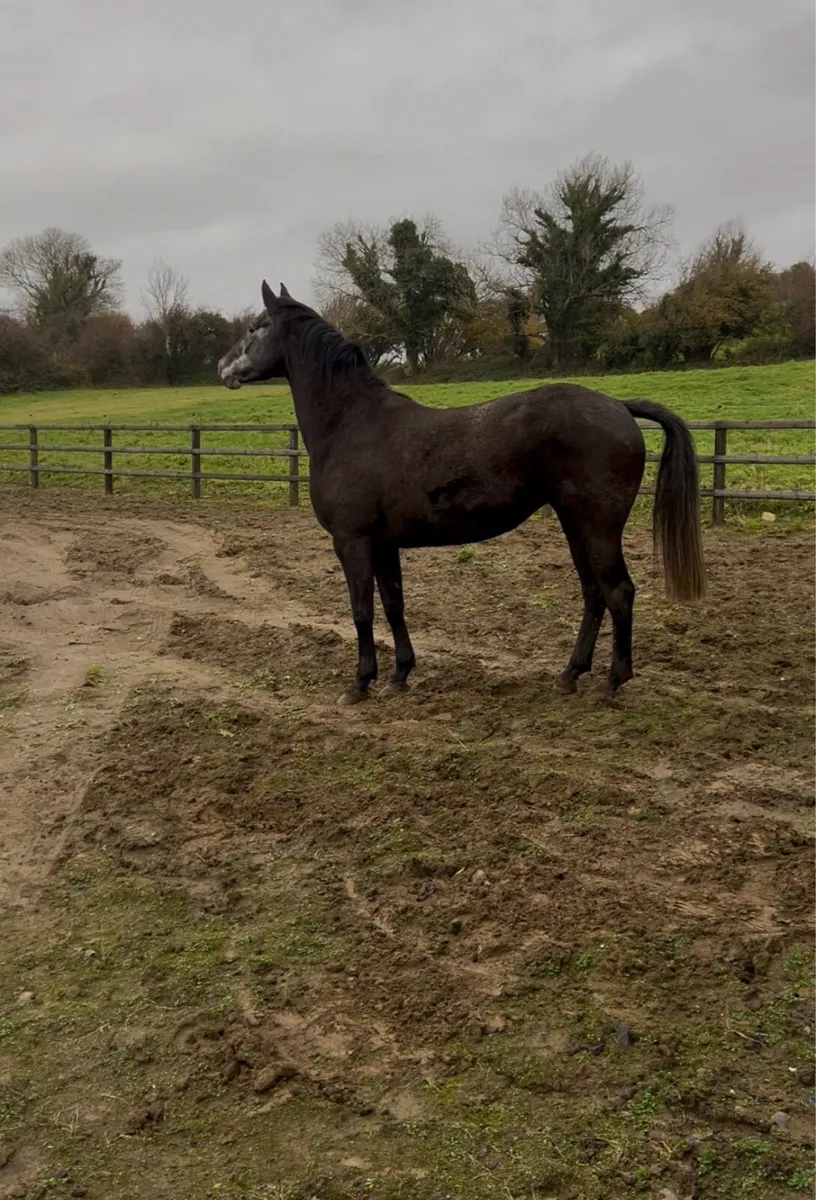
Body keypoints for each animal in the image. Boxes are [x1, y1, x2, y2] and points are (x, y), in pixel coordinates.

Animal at [218, 282, 706, 704]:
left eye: (255, 326)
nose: (223, 367)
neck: (352, 424)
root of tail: (619, 406)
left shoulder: (352, 542)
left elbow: (361, 611)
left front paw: (359, 684)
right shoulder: (384, 544)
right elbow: (393, 605)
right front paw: (399, 676)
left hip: (598, 528)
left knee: (619, 592)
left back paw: (613, 680)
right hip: (574, 525)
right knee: (594, 593)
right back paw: (569, 675)